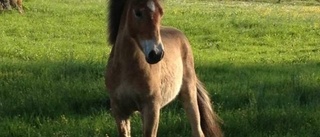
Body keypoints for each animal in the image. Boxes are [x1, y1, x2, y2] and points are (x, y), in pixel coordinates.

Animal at [105, 0, 222, 136]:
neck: (126, 71)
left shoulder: (151, 109)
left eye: (161, 12)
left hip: (189, 94)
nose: (156, 54)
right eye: (138, 12)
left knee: (197, 130)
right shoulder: (120, 111)